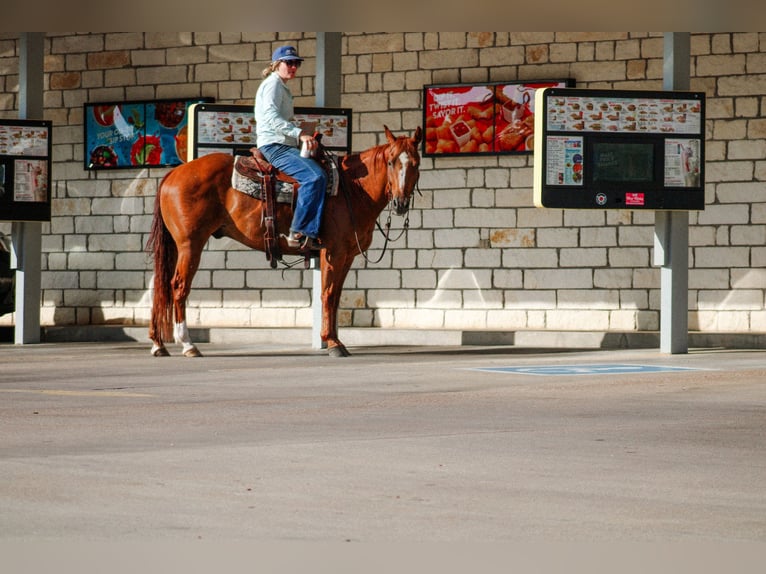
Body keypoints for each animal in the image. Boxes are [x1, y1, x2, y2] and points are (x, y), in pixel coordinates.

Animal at [147, 126, 424, 358]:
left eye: (416, 163)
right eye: (390, 161)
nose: (400, 202)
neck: (353, 188)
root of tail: (174, 172)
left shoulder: (347, 256)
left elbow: (335, 296)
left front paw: (335, 340)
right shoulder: (333, 253)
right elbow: (328, 294)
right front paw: (332, 343)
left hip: (177, 247)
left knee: (161, 285)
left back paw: (159, 344)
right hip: (190, 244)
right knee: (178, 286)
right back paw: (188, 344)